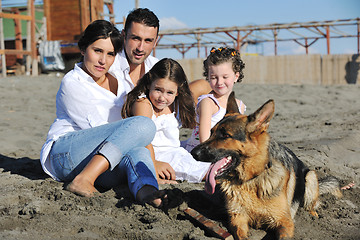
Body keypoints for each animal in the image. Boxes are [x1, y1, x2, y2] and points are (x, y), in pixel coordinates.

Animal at [190, 91, 342, 238]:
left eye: (225, 135)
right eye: (211, 132)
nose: (193, 153)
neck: (251, 180)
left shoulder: (285, 222)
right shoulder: (237, 218)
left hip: (310, 177)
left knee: (311, 204)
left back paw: (312, 215)